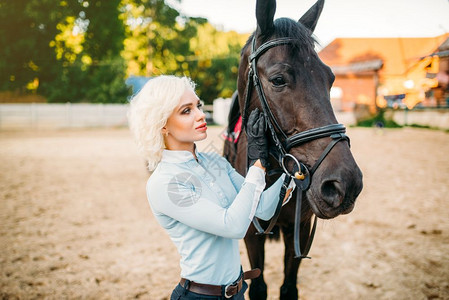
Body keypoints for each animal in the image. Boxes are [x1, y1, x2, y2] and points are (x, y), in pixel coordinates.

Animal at [222, 1, 362, 298]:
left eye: (330, 79)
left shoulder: (300, 228)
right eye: (277, 79)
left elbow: (288, 288)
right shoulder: (251, 236)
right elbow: (259, 287)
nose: (346, 183)